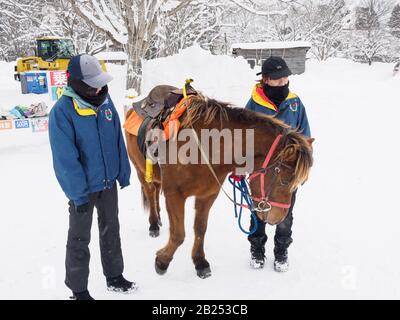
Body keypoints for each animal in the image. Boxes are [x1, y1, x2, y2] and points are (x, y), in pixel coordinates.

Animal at [125, 86, 312, 278]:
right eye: (285, 181)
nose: (278, 218)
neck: (206, 145)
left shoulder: (208, 195)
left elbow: (200, 229)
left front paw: (200, 262)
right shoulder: (174, 194)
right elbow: (178, 234)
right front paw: (162, 261)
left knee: (155, 190)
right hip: (141, 172)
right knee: (150, 192)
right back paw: (154, 224)